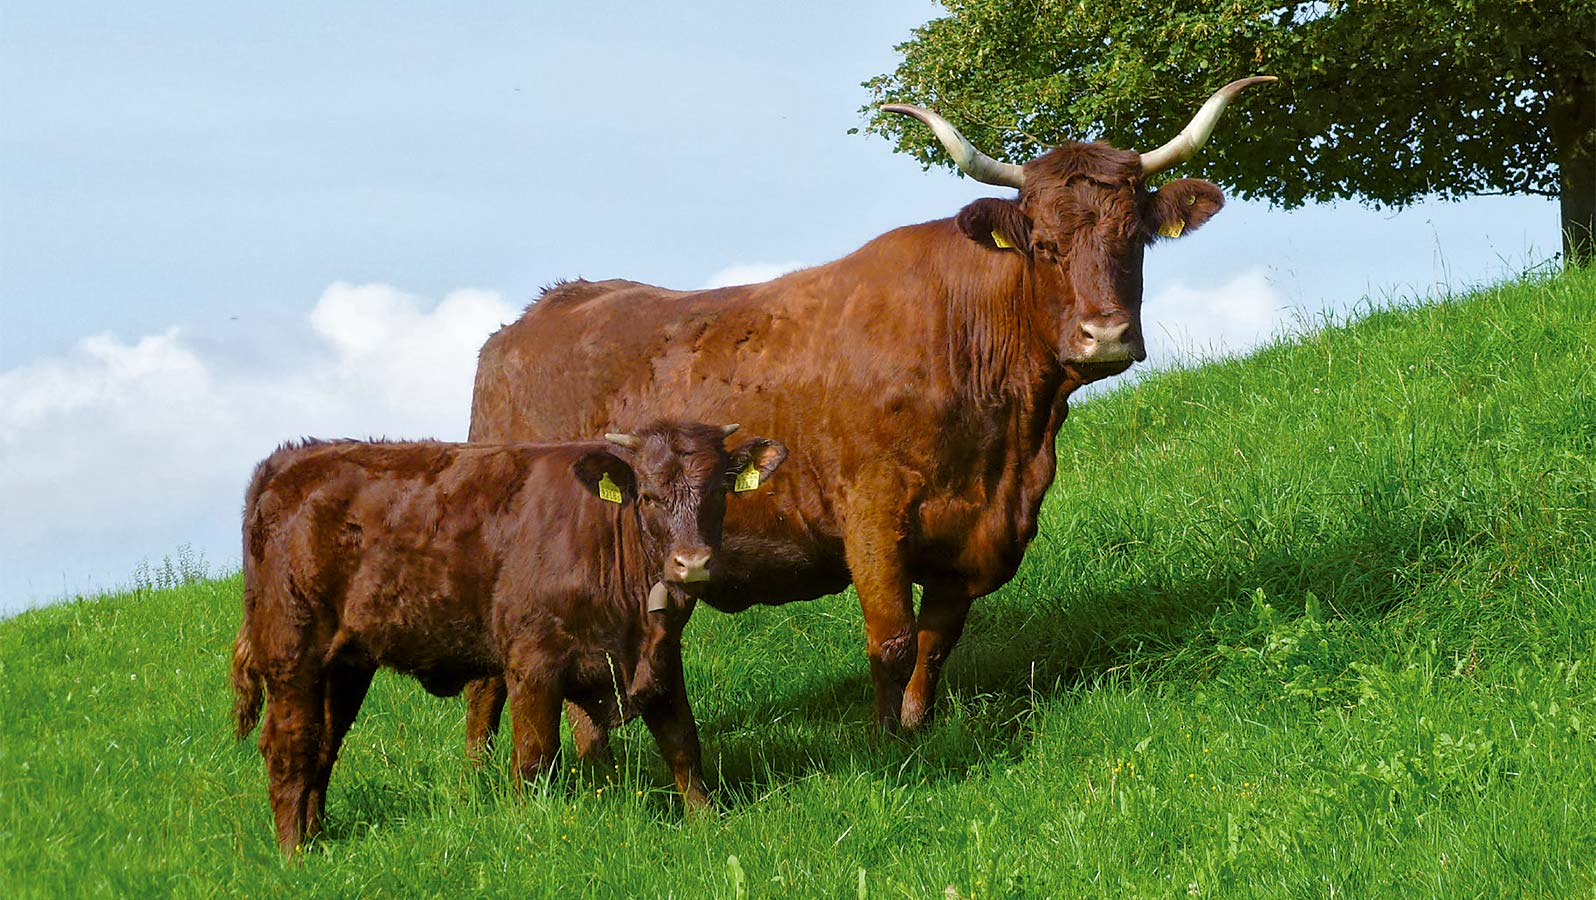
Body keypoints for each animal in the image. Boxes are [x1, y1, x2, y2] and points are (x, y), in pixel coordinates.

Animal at [229, 421, 788, 853]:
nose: (692, 563)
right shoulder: (534, 663)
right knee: (289, 743)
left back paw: (317, 837)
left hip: (345, 663)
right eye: (648, 496)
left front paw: (709, 824)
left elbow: (683, 745)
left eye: (717, 492)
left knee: (325, 744)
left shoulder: (661, 658)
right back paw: (293, 852)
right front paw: (530, 828)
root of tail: (289, 461)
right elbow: (535, 757)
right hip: (291, 649)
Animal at [463, 77, 1277, 758]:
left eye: (1134, 239)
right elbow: (891, 640)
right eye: (1044, 247)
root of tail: (532, 316)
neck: (1009, 437)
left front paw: (918, 725)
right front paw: (888, 747)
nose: (1104, 335)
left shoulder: (975, 534)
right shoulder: (872, 515)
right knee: (489, 677)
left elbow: (936, 642)